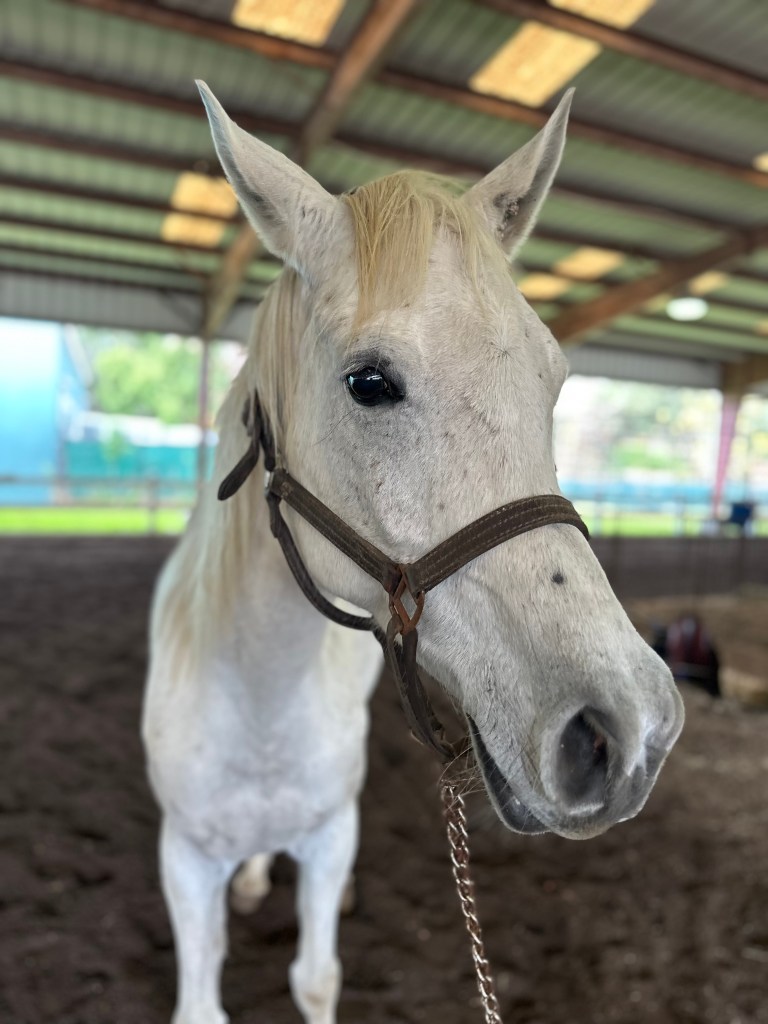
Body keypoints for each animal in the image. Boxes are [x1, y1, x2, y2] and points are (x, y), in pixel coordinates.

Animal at [142, 81, 685, 1024]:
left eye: (553, 380)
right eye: (369, 382)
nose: (630, 732)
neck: (259, 698)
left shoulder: (332, 839)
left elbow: (317, 975)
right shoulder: (185, 861)